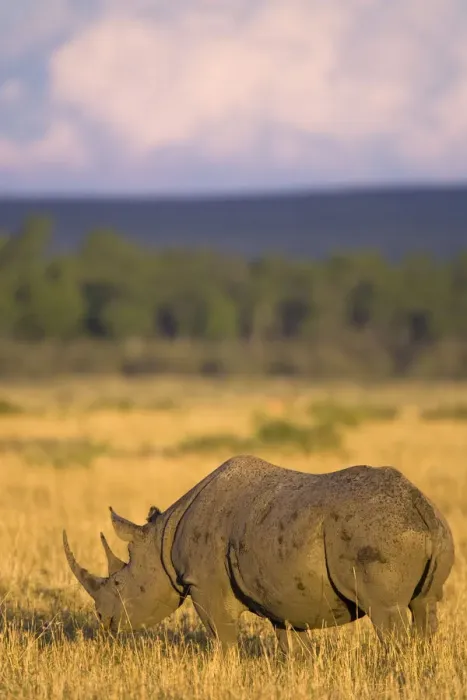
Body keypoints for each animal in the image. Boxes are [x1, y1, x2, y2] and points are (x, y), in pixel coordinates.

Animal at [63, 455, 454, 654]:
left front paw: (225, 673)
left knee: (386, 612)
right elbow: (292, 643)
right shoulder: (283, 593)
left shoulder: (203, 585)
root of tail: (419, 505)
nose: (103, 621)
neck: (159, 543)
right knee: (425, 605)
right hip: (436, 528)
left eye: (118, 583)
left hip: (378, 534)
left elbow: (223, 639)